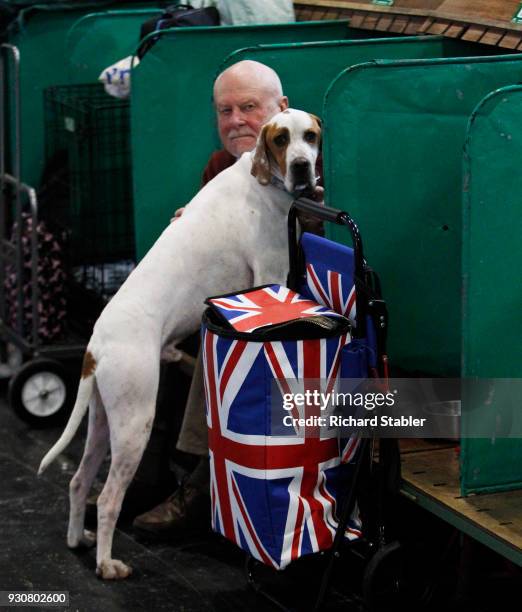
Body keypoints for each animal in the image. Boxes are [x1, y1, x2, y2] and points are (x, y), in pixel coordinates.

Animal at [36, 107, 318, 580]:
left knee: (78, 480)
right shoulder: (271, 273)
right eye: (281, 139)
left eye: (310, 137)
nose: (302, 166)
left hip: (105, 419)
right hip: (135, 421)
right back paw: (107, 564)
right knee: (109, 498)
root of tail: (96, 344)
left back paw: (79, 540)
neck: (260, 179)